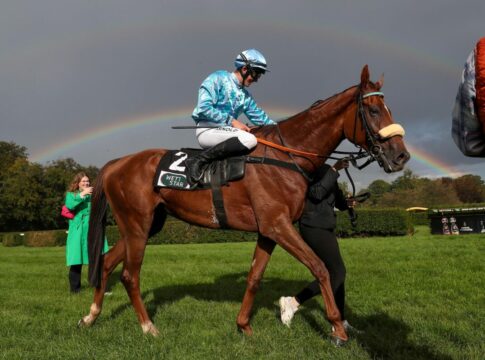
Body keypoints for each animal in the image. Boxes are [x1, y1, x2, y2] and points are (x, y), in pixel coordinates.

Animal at [79, 66, 408, 344]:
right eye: (373, 110)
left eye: (389, 109)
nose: (401, 156)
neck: (286, 156)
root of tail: (117, 163)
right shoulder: (279, 225)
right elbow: (321, 268)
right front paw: (338, 328)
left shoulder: (269, 230)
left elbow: (254, 277)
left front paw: (244, 325)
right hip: (138, 224)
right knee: (129, 275)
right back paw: (148, 327)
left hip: (145, 225)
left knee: (106, 263)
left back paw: (91, 316)